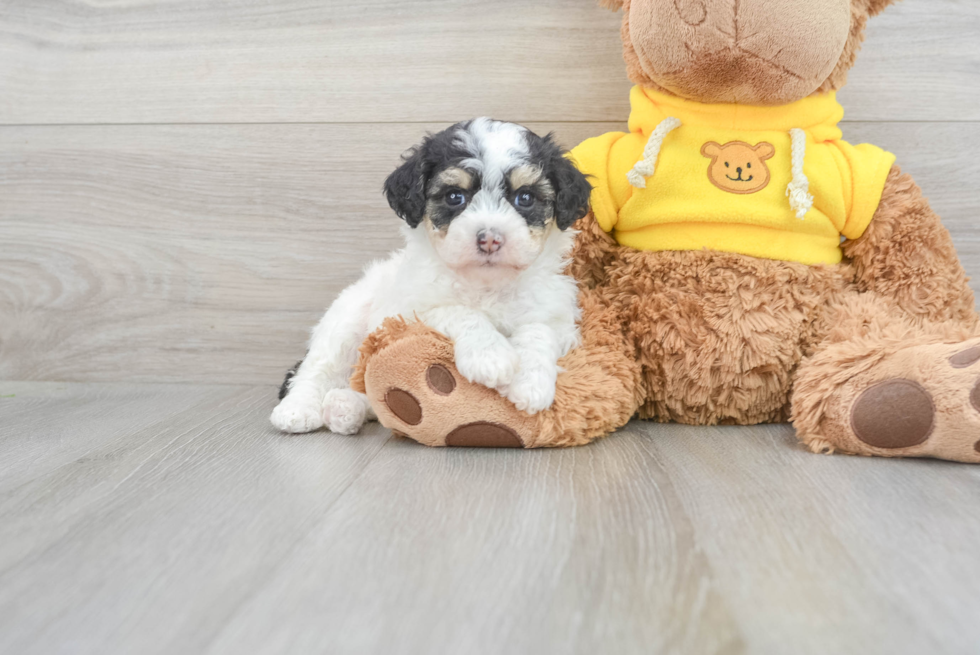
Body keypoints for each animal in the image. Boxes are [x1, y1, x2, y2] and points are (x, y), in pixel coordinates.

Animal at [268, 118, 588, 436]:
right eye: (454, 197)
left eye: (526, 198)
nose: (489, 240)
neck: (486, 285)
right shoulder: (406, 314)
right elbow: (458, 311)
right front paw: (490, 356)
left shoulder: (558, 318)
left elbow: (539, 330)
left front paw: (531, 383)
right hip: (346, 319)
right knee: (318, 367)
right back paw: (299, 409)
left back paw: (344, 408)